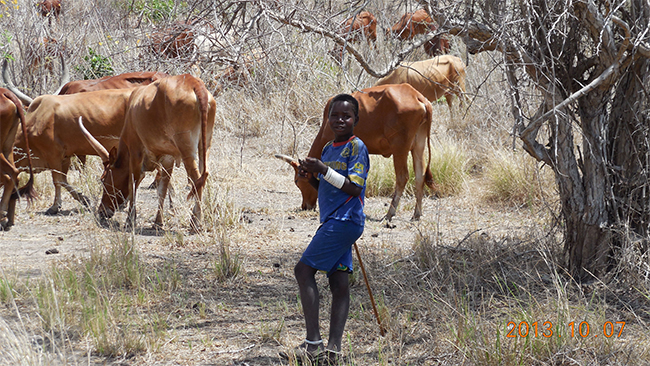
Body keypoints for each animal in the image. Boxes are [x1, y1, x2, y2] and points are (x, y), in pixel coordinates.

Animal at [13, 87, 135, 216]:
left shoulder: (53, 156)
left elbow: (57, 181)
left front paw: (55, 206)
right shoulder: (65, 157)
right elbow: (63, 180)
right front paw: (83, 199)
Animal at [79, 73, 215, 230]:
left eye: (103, 179)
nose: (102, 211)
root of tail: (193, 82)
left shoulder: (135, 150)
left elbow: (133, 183)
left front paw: (130, 220)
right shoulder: (168, 158)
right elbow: (162, 188)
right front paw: (158, 222)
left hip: (187, 149)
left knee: (196, 178)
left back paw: (195, 223)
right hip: (205, 145)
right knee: (203, 175)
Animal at [276, 83, 432, 220]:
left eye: (297, 181)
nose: (305, 206)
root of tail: (418, 96)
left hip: (400, 148)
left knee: (402, 177)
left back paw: (389, 214)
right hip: (418, 147)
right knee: (420, 176)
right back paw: (416, 214)